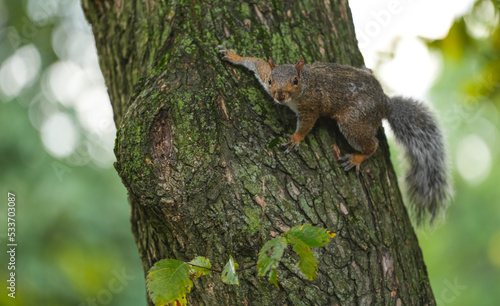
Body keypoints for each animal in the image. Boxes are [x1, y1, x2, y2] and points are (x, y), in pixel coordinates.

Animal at [217, 45, 452, 224]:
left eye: (295, 80)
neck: (305, 86)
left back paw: (357, 158)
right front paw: (234, 56)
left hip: (353, 122)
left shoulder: (310, 108)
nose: (280, 96)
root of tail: (385, 103)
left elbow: (306, 125)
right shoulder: (265, 74)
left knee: (372, 144)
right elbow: (258, 64)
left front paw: (295, 139)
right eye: (271, 81)